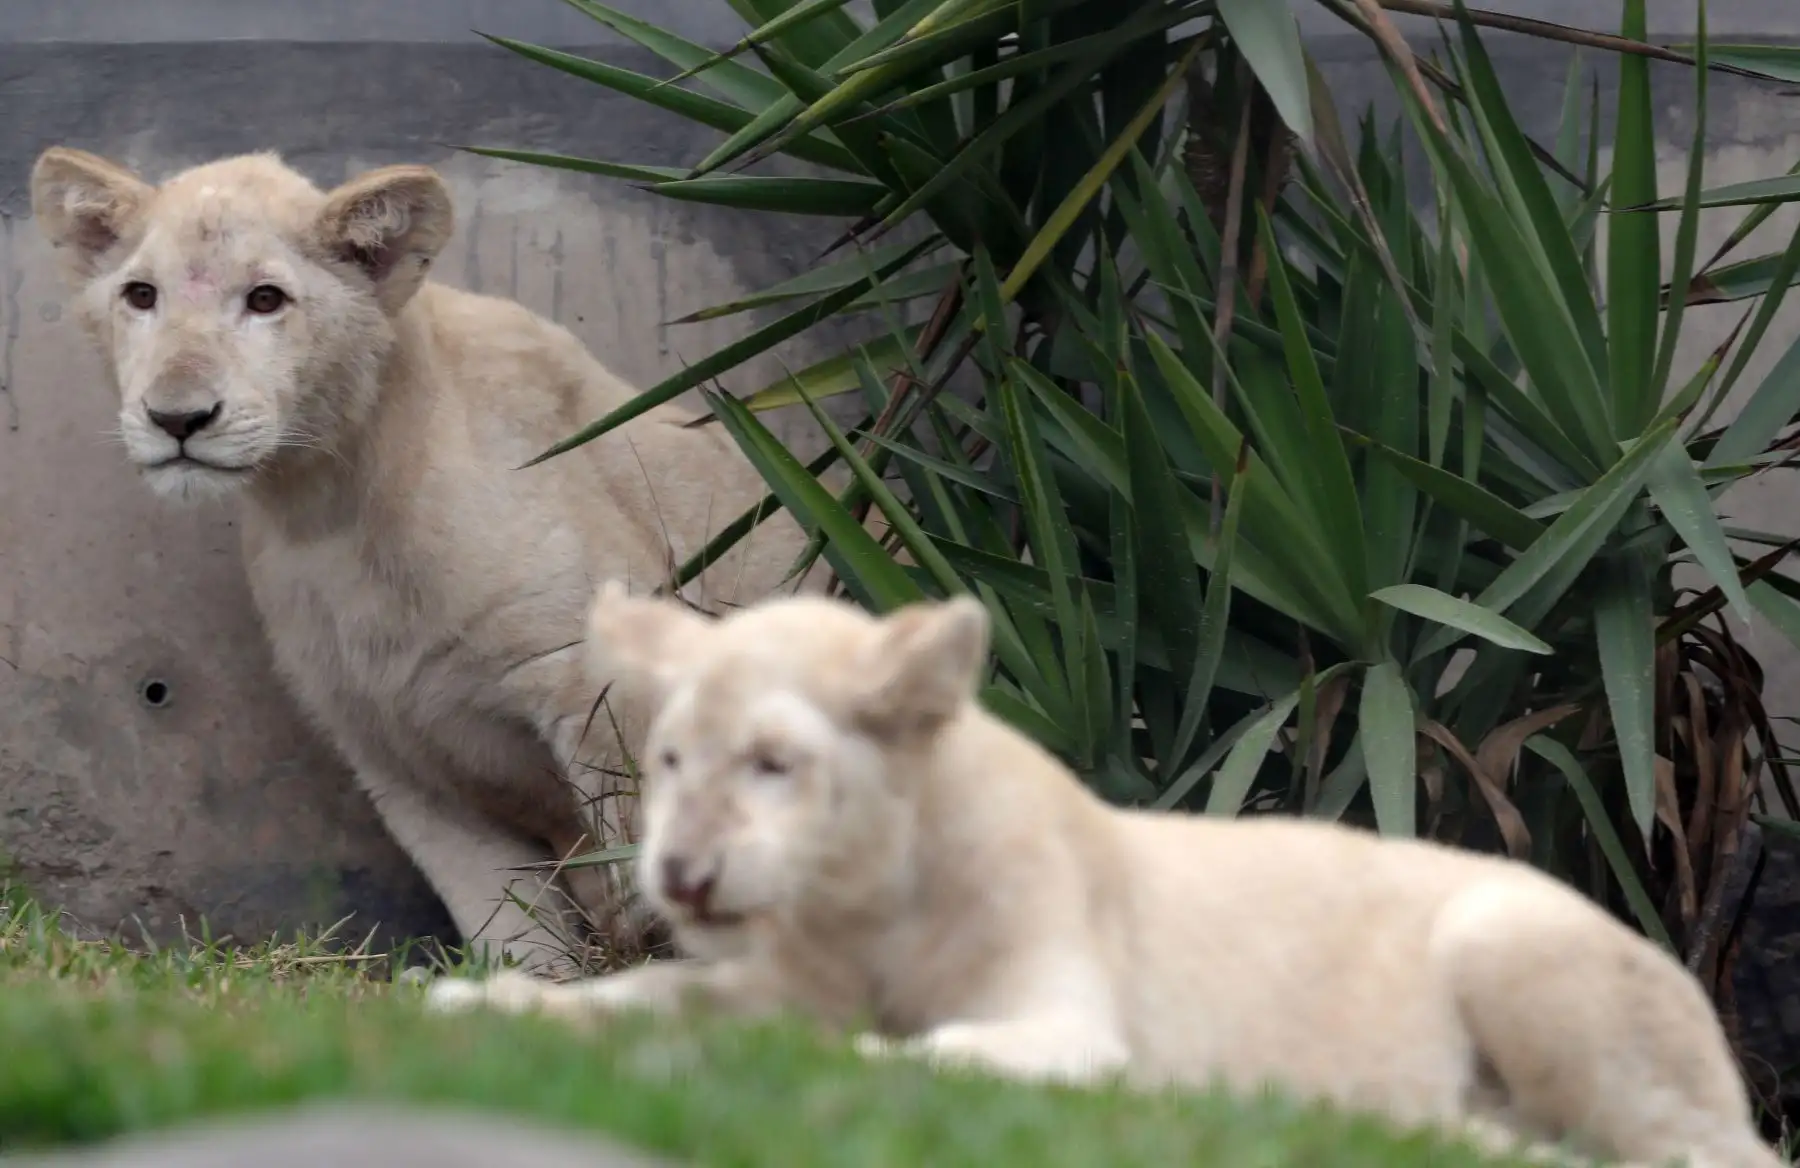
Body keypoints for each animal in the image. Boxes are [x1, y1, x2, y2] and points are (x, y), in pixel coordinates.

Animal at [29, 146, 826, 971]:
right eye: (141, 295)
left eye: (266, 299)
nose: (176, 418)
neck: (327, 509)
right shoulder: (392, 753)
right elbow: (504, 923)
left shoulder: (610, 684)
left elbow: (662, 868)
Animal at [426, 586, 1780, 1168]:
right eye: (668, 757)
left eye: (773, 761)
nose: (684, 874)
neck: (865, 905)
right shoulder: (769, 970)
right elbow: (633, 1000)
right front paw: (476, 1004)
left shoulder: (1069, 1015)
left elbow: (928, 1051)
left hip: (1518, 941)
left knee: (1689, 1151)